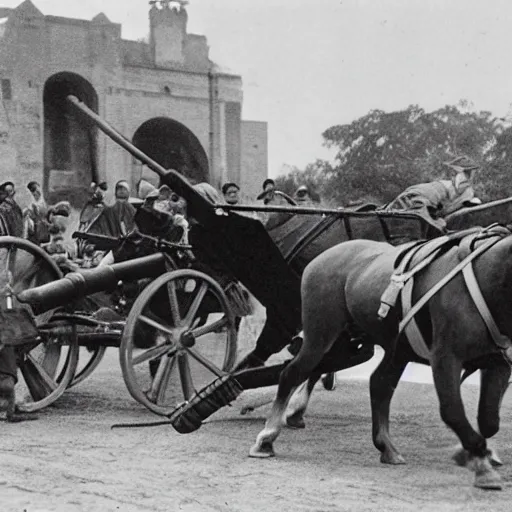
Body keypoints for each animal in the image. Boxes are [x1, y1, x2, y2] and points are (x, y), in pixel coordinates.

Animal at [249, 230, 512, 490]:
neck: (486, 275)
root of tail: (322, 257)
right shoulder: (445, 358)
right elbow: (452, 411)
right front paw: (479, 462)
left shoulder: (497, 364)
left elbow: (489, 419)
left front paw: (479, 454)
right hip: (320, 338)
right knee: (293, 373)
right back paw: (267, 437)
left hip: (393, 349)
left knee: (378, 383)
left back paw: (386, 446)